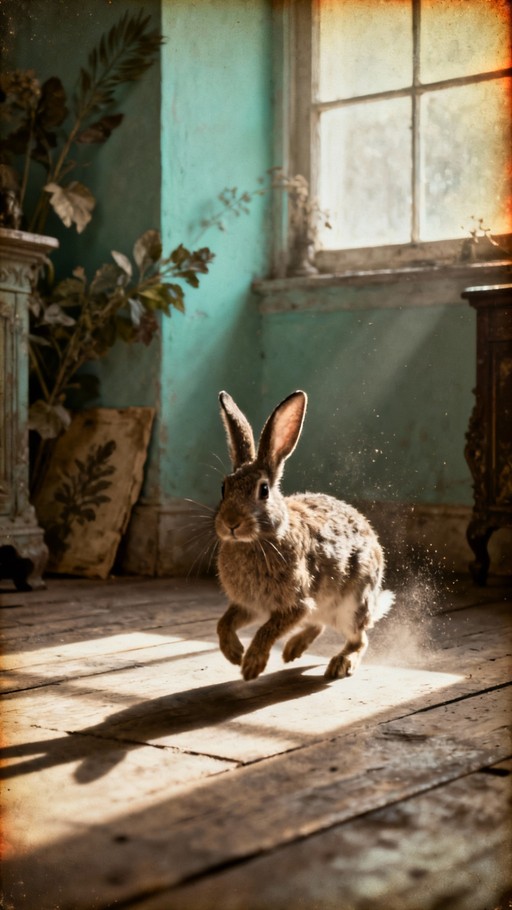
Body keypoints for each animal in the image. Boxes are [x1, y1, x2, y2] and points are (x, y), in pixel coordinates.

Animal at [214, 390, 395, 681]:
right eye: (224, 488)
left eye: (263, 490)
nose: (231, 523)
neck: (263, 539)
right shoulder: (251, 606)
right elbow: (224, 622)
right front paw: (233, 653)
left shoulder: (296, 604)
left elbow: (267, 630)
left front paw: (251, 664)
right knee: (319, 626)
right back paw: (292, 649)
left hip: (351, 606)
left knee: (359, 639)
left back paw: (340, 663)